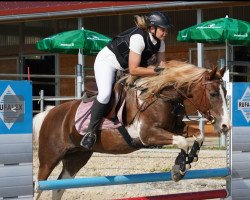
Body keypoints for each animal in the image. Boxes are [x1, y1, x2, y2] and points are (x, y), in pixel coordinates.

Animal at [32, 59, 230, 200]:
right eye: (213, 94)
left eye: (225, 93)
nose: (226, 126)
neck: (161, 96)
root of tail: (50, 113)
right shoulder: (148, 135)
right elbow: (182, 141)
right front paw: (179, 169)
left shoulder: (175, 127)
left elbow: (198, 135)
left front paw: (189, 158)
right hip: (49, 157)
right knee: (39, 185)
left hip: (76, 157)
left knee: (59, 187)